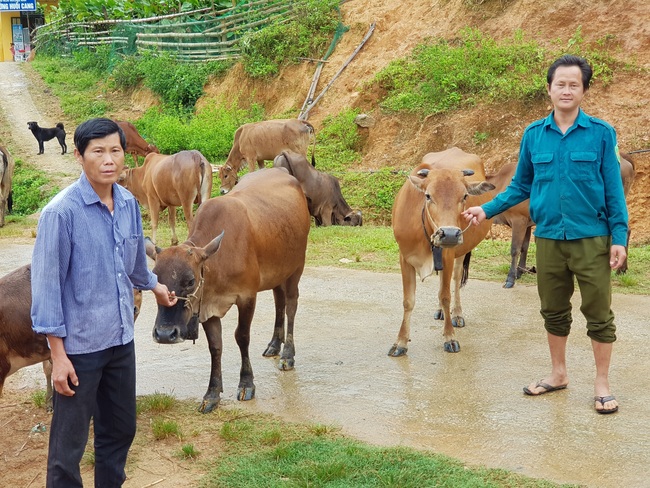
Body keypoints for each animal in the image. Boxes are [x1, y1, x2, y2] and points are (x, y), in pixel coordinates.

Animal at [146, 168, 310, 412]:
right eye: (156, 279)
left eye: (190, 281)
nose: (165, 334)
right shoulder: (206, 306)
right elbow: (215, 346)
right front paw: (212, 393)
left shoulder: (247, 297)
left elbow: (242, 336)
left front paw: (247, 383)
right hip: (277, 273)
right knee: (279, 302)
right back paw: (274, 344)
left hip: (296, 267)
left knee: (290, 305)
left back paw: (288, 354)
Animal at [390, 147, 492, 356]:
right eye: (428, 196)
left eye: (464, 196)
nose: (450, 234)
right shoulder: (404, 258)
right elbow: (408, 301)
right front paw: (401, 342)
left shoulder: (448, 255)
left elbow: (446, 296)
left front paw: (450, 337)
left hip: (460, 252)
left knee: (456, 279)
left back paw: (457, 313)